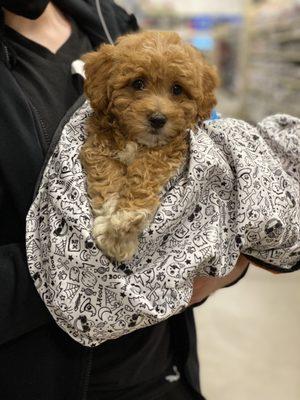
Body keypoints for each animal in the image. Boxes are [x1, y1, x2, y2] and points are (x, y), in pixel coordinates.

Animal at [79, 31, 218, 262]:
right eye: (138, 83)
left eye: (177, 89)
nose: (158, 119)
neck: (135, 140)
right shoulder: (98, 146)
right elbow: (107, 178)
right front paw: (111, 220)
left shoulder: (166, 150)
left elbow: (143, 174)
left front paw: (124, 225)